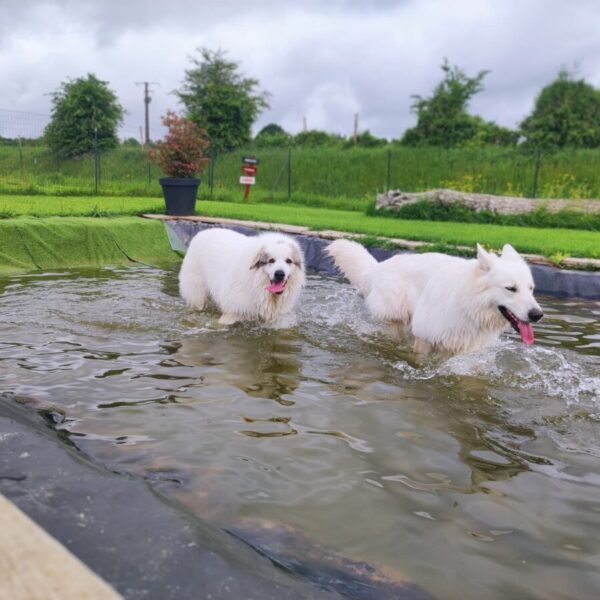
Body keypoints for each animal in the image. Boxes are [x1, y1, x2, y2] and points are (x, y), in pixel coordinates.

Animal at [328, 238, 544, 354]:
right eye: (511, 288)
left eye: (531, 289)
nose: (537, 315)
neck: (469, 305)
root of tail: (379, 266)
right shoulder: (425, 338)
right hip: (398, 317)